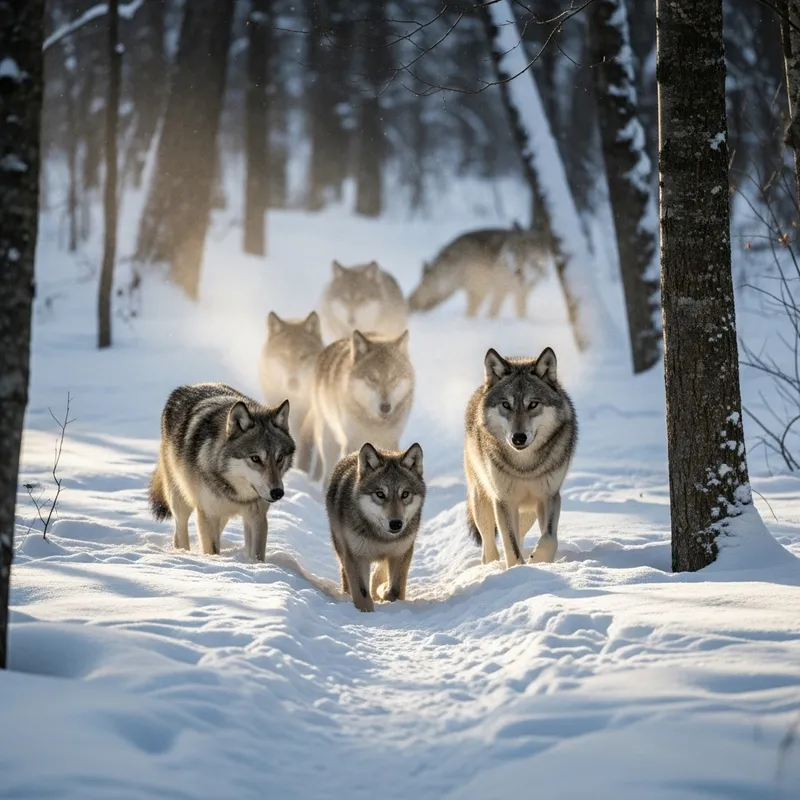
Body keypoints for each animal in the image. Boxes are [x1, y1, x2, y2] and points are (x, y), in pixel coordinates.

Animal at [148, 383, 295, 562]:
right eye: (255, 458)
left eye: (279, 458)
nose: (277, 493)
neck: (236, 494)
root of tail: (186, 387)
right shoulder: (208, 514)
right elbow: (212, 550)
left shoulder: (257, 517)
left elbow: (257, 556)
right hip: (180, 501)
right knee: (179, 533)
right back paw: (183, 554)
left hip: (221, 515)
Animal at [298, 329, 415, 487]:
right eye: (372, 379)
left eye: (394, 378)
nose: (385, 407)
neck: (374, 422)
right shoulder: (352, 442)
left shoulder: (390, 441)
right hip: (328, 440)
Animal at [326, 442, 426, 612]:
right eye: (380, 494)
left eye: (405, 494)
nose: (396, 524)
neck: (383, 538)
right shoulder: (356, 557)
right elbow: (362, 593)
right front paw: (366, 613)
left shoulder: (401, 553)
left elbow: (395, 589)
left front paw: (388, 598)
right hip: (341, 548)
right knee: (345, 574)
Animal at [408, 224, 549, 319]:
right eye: (515, 254)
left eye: (527, 259)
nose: (517, 271)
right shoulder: (500, 290)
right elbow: (493, 312)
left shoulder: (521, 293)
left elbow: (521, 313)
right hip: (474, 289)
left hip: (479, 291)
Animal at [464, 347, 577, 567]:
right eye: (506, 405)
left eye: (532, 404)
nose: (518, 438)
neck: (525, 466)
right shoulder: (503, 501)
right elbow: (510, 544)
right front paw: (517, 569)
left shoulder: (549, 496)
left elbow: (549, 537)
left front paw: (538, 560)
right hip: (482, 501)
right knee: (489, 543)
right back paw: (490, 565)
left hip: (527, 512)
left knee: (522, 535)